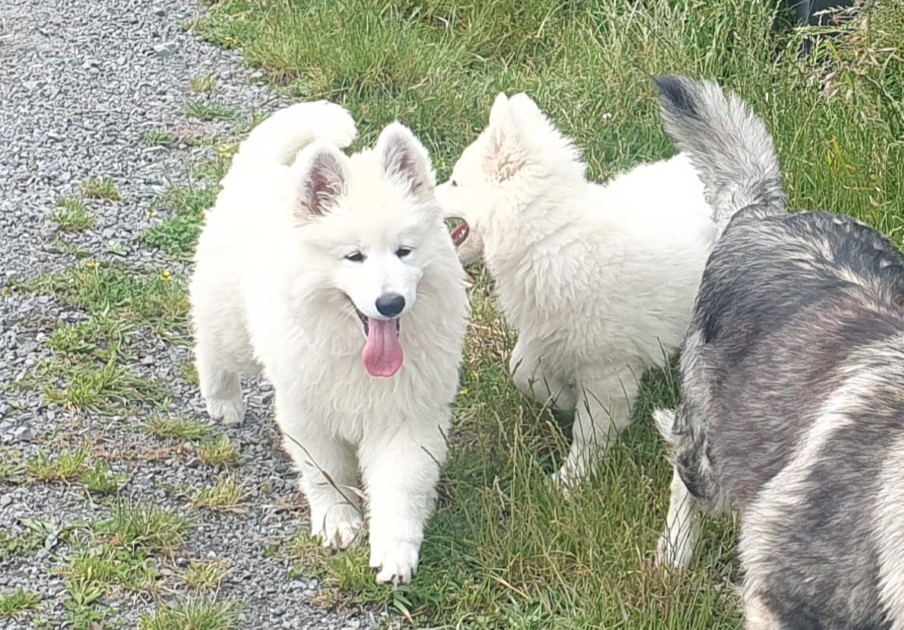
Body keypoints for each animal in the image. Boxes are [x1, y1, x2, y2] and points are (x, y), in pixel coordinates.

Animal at [192, 101, 474, 584]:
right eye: (353, 256)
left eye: (404, 251)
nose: (390, 303)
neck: (356, 353)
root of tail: (261, 170)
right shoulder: (308, 415)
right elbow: (326, 473)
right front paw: (338, 521)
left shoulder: (407, 419)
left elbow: (400, 488)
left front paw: (395, 553)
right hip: (232, 327)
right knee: (209, 343)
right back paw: (222, 399)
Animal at [434, 94, 716, 488]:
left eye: (456, 182)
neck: (551, 237)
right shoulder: (545, 335)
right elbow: (521, 369)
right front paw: (563, 399)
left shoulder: (607, 369)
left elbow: (590, 430)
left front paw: (571, 481)